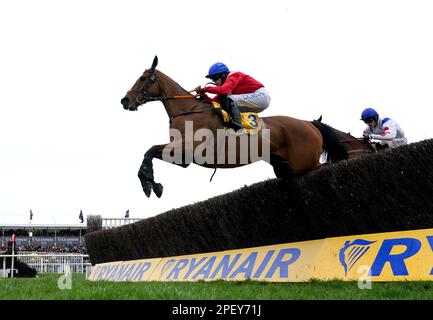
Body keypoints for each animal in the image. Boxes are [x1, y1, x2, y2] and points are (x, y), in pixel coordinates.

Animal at [120, 57, 368, 198]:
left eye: (143, 78)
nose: (125, 100)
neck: (188, 110)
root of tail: (309, 123)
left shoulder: (189, 151)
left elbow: (150, 150)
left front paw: (150, 184)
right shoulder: (182, 157)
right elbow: (150, 152)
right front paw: (151, 183)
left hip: (305, 162)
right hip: (285, 168)